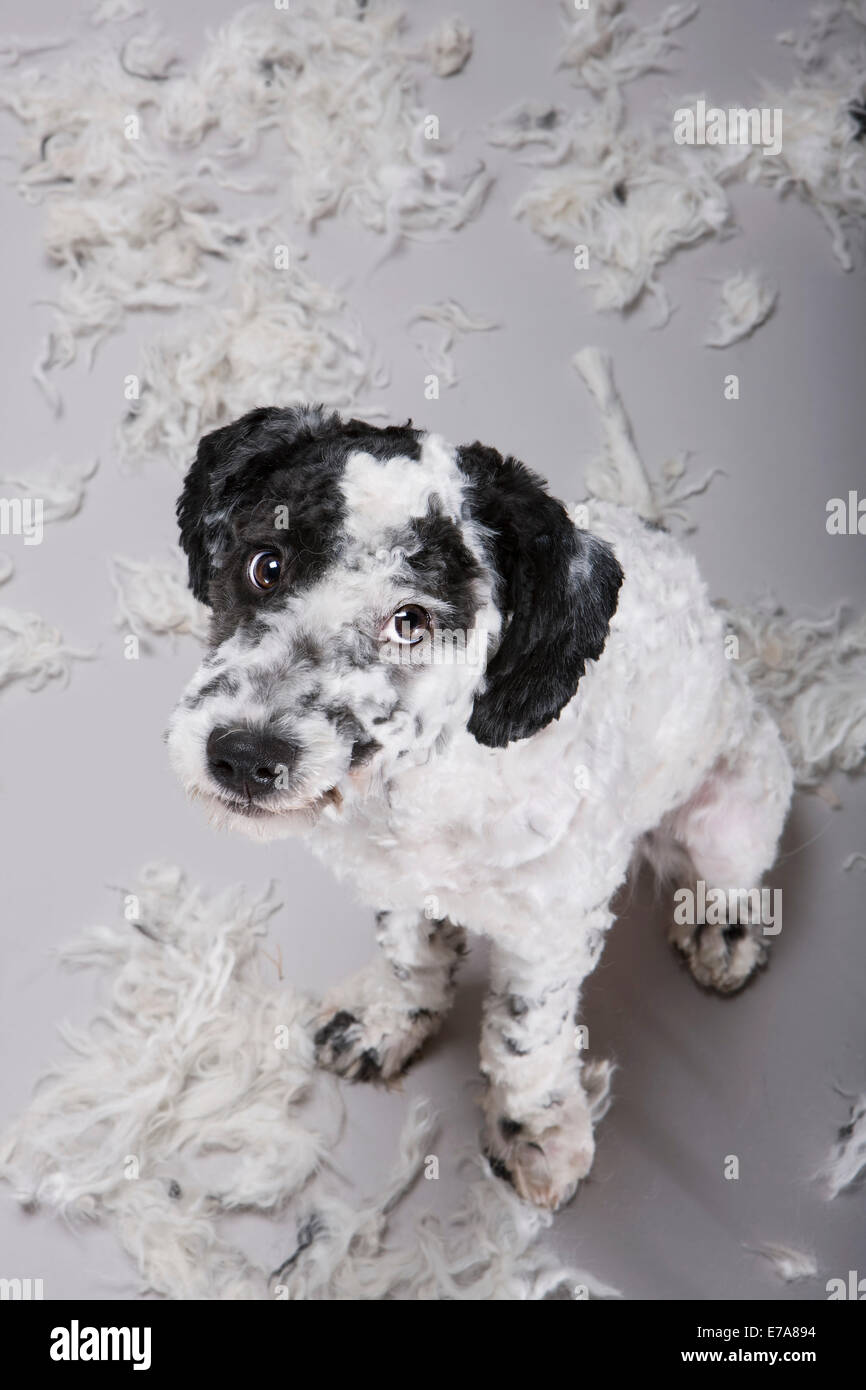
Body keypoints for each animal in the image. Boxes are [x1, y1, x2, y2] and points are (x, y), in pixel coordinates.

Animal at [167, 405, 795, 1212]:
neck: (433, 786)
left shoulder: (552, 932)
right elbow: (408, 957)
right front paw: (387, 1023)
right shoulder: (394, 880)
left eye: (411, 620)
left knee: (732, 872)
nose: (243, 755)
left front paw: (536, 1132)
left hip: (732, 808)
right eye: (265, 564)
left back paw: (723, 928)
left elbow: (527, 1038)